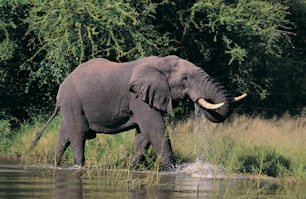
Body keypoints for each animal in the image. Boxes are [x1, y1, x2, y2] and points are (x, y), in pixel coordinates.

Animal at [31, 55, 246, 170]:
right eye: (185, 78)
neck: (160, 63)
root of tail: (60, 90)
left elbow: (143, 136)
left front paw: (132, 168)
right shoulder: (139, 98)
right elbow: (156, 130)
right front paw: (173, 171)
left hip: (70, 105)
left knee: (64, 136)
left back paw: (52, 163)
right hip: (73, 101)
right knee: (77, 134)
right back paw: (78, 166)